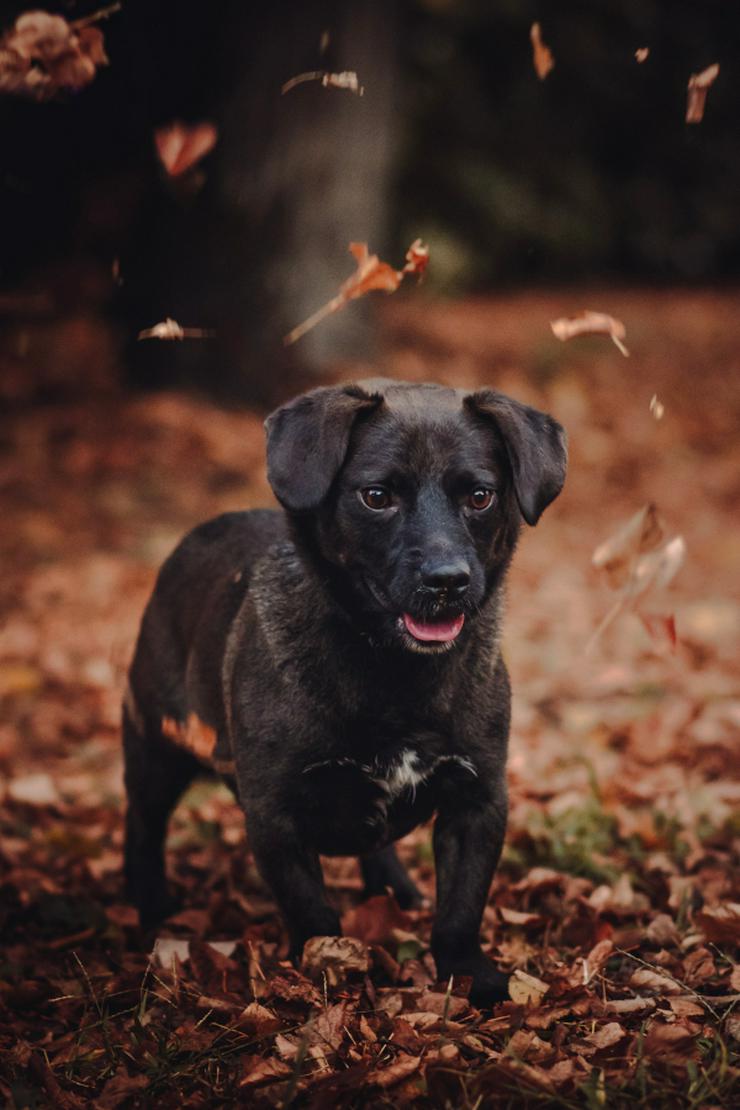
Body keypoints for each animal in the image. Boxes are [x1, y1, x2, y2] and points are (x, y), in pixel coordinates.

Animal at [125, 379, 568, 1007]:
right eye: (376, 496)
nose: (447, 580)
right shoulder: (275, 816)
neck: (394, 672)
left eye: (480, 496)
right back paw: (150, 905)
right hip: (155, 747)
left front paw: (470, 978)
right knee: (144, 823)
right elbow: (313, 915)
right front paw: (324, 975)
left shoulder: (477, 800)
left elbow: (461, 910)